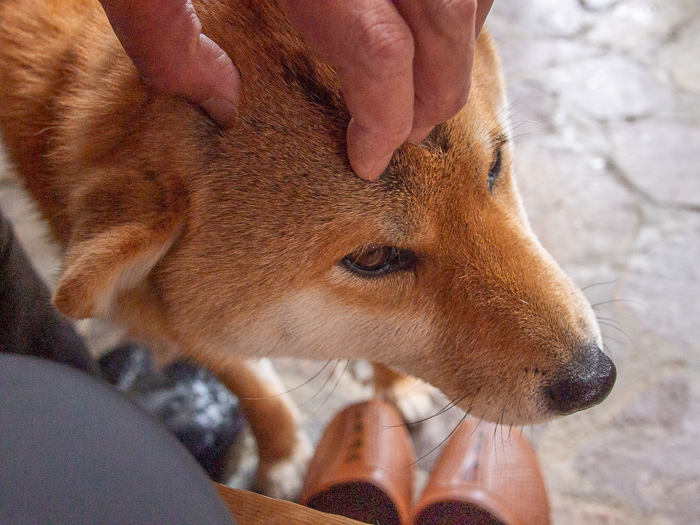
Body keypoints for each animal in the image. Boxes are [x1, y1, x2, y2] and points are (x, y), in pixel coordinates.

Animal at [0, 0, 612, 498]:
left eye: (494, 168)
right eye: (371, 259)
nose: (596, 380)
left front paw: (394, 383)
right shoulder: (160, 317)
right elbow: (248, 382)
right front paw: (283, 456)